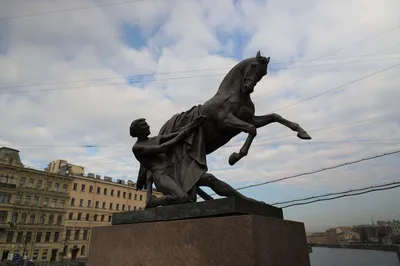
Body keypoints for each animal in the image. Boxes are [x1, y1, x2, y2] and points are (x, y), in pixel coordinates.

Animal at [138, 51, 312, 205]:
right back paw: (151, 201)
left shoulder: (252, 119)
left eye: (264, 72)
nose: (248, 87)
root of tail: (163, 127)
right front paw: (234, 157)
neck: (234, 96)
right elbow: (251, 129)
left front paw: (302, 132)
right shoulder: (226, 122)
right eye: (253, 65)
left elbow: (275, 117)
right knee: (151, 176)